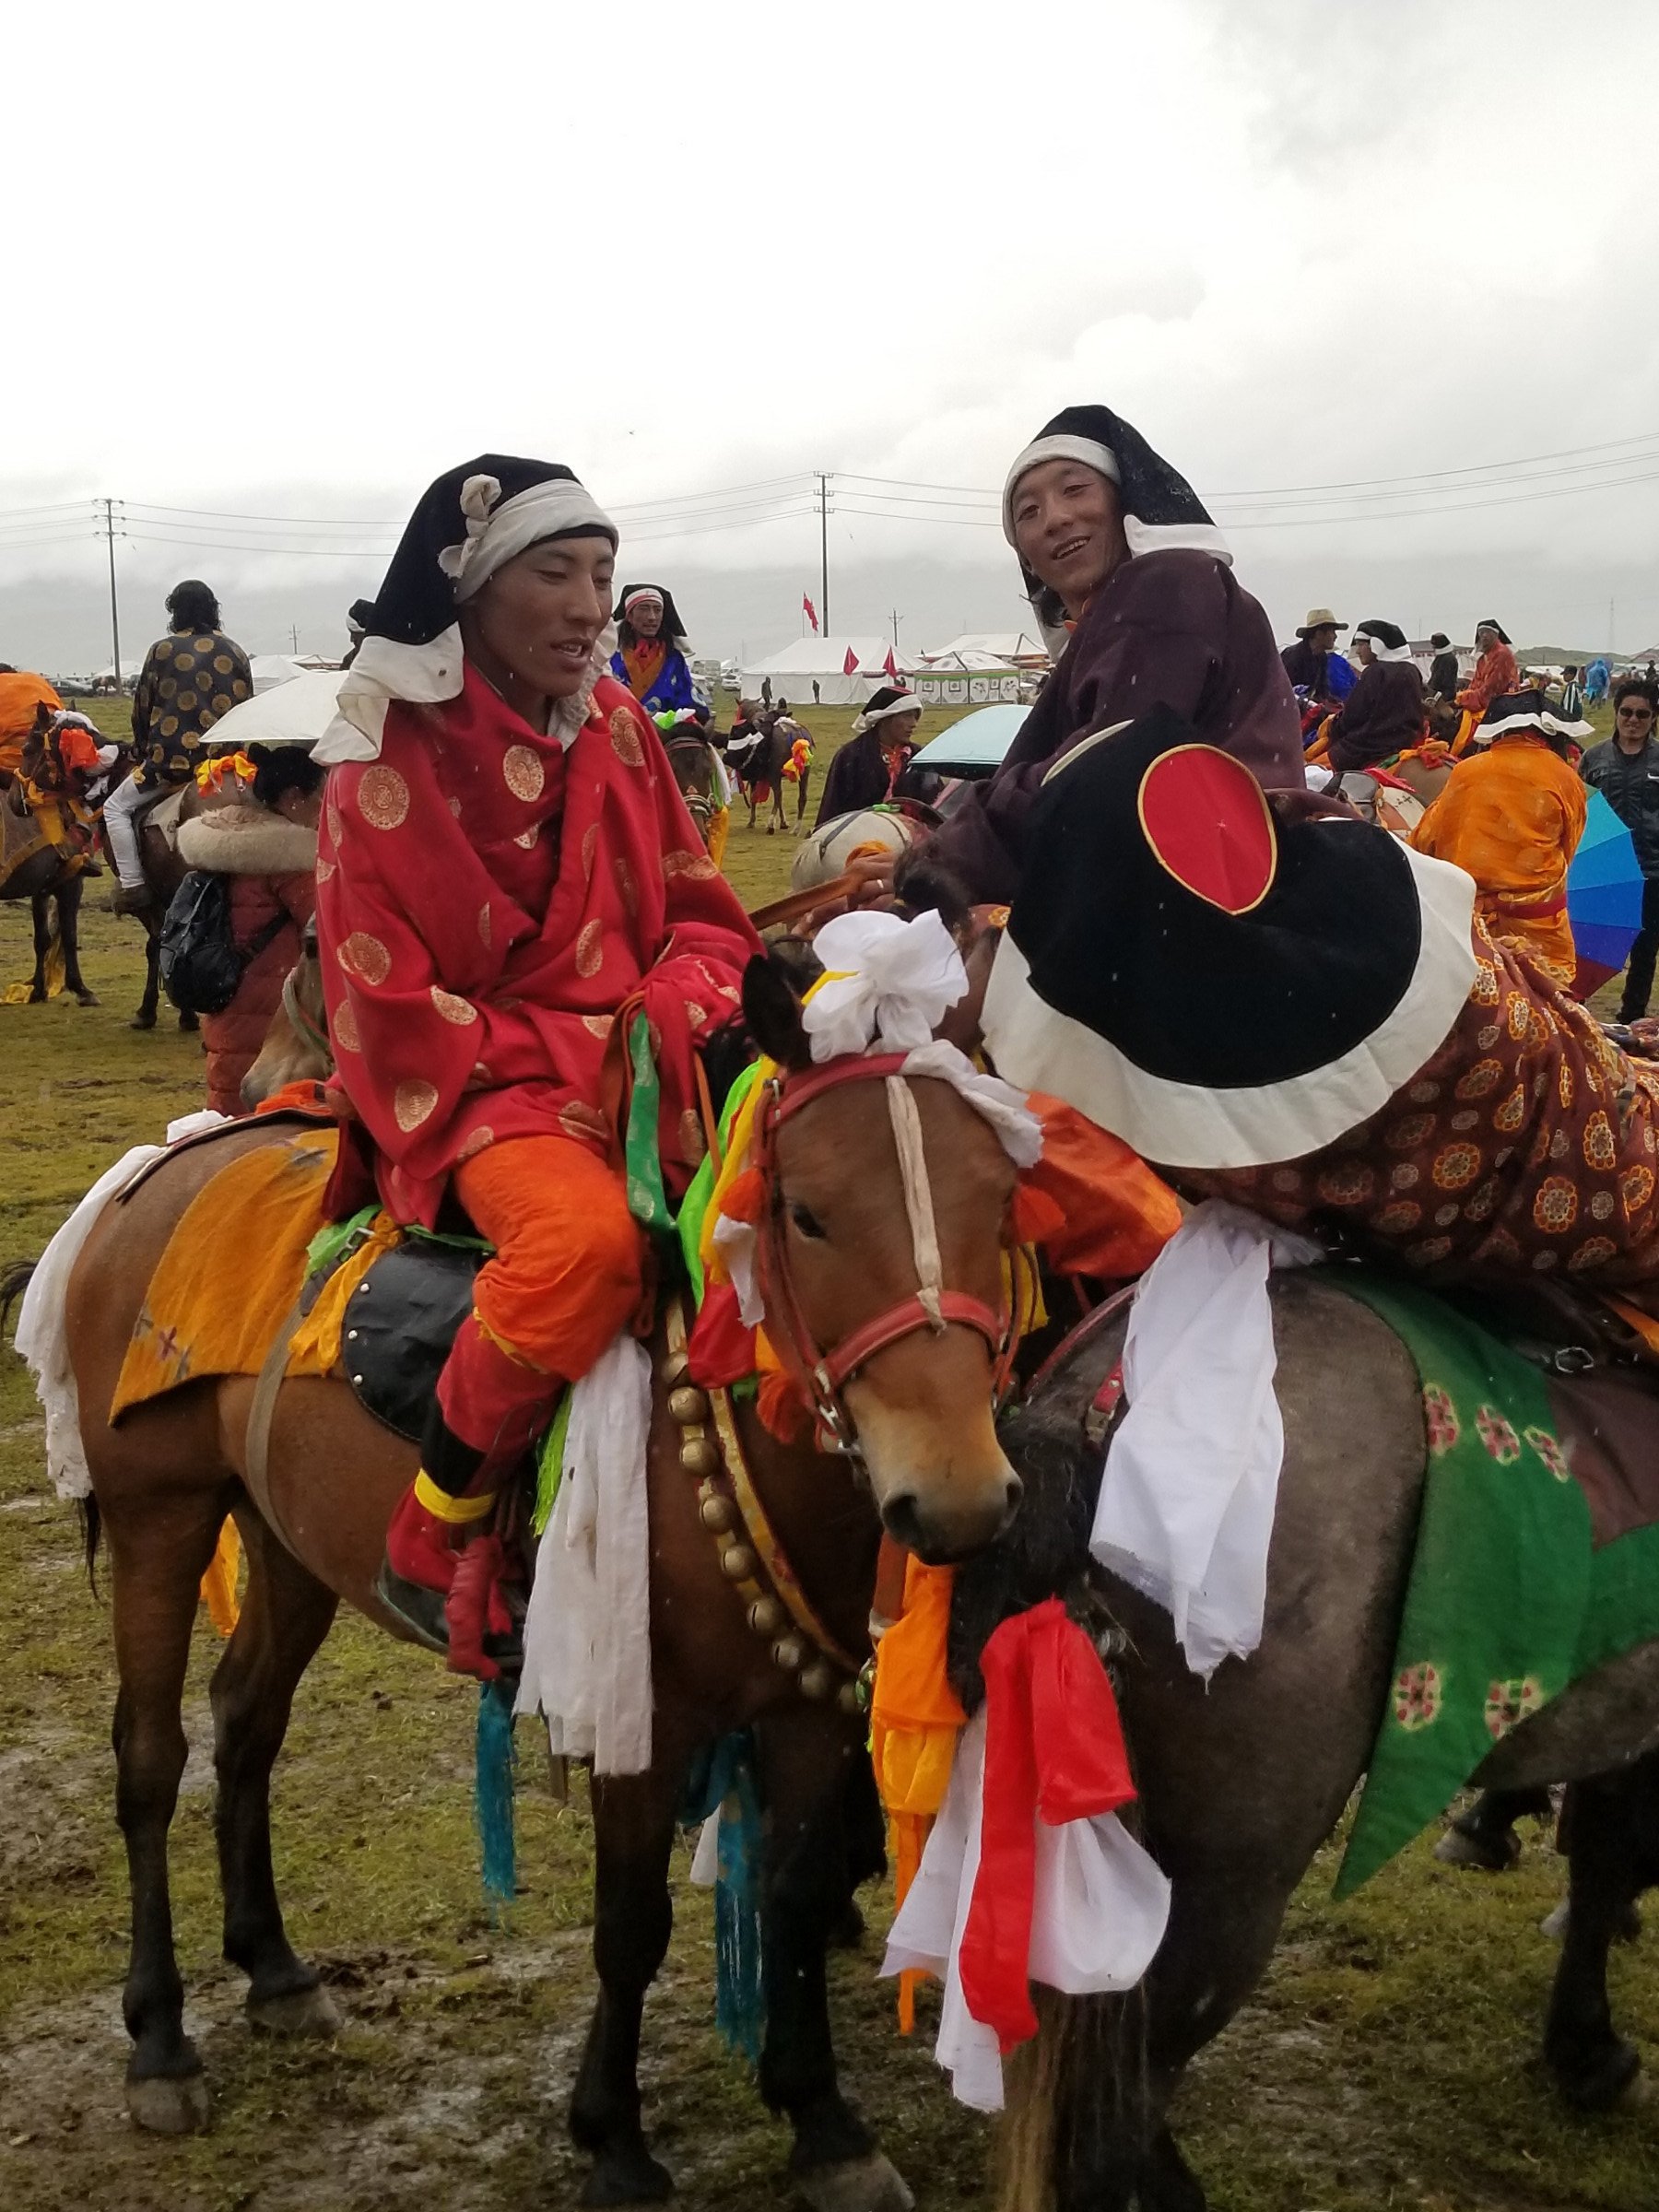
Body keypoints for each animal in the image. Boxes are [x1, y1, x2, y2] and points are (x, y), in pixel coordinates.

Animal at [52, 942, 1021, 2212]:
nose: (956, 1498)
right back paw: (161, 2038)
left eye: (1000, 1203)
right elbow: (632, 1924)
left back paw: (272, 1968)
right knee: (151, 1759)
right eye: (807, 1214)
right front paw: (613, 2137)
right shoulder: (640, 1715)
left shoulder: (809, 1709)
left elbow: (798, 1897)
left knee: (246, 1721)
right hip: (159, 1515)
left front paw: (822, 2121)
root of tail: (170, 1162)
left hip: (290, 1540)